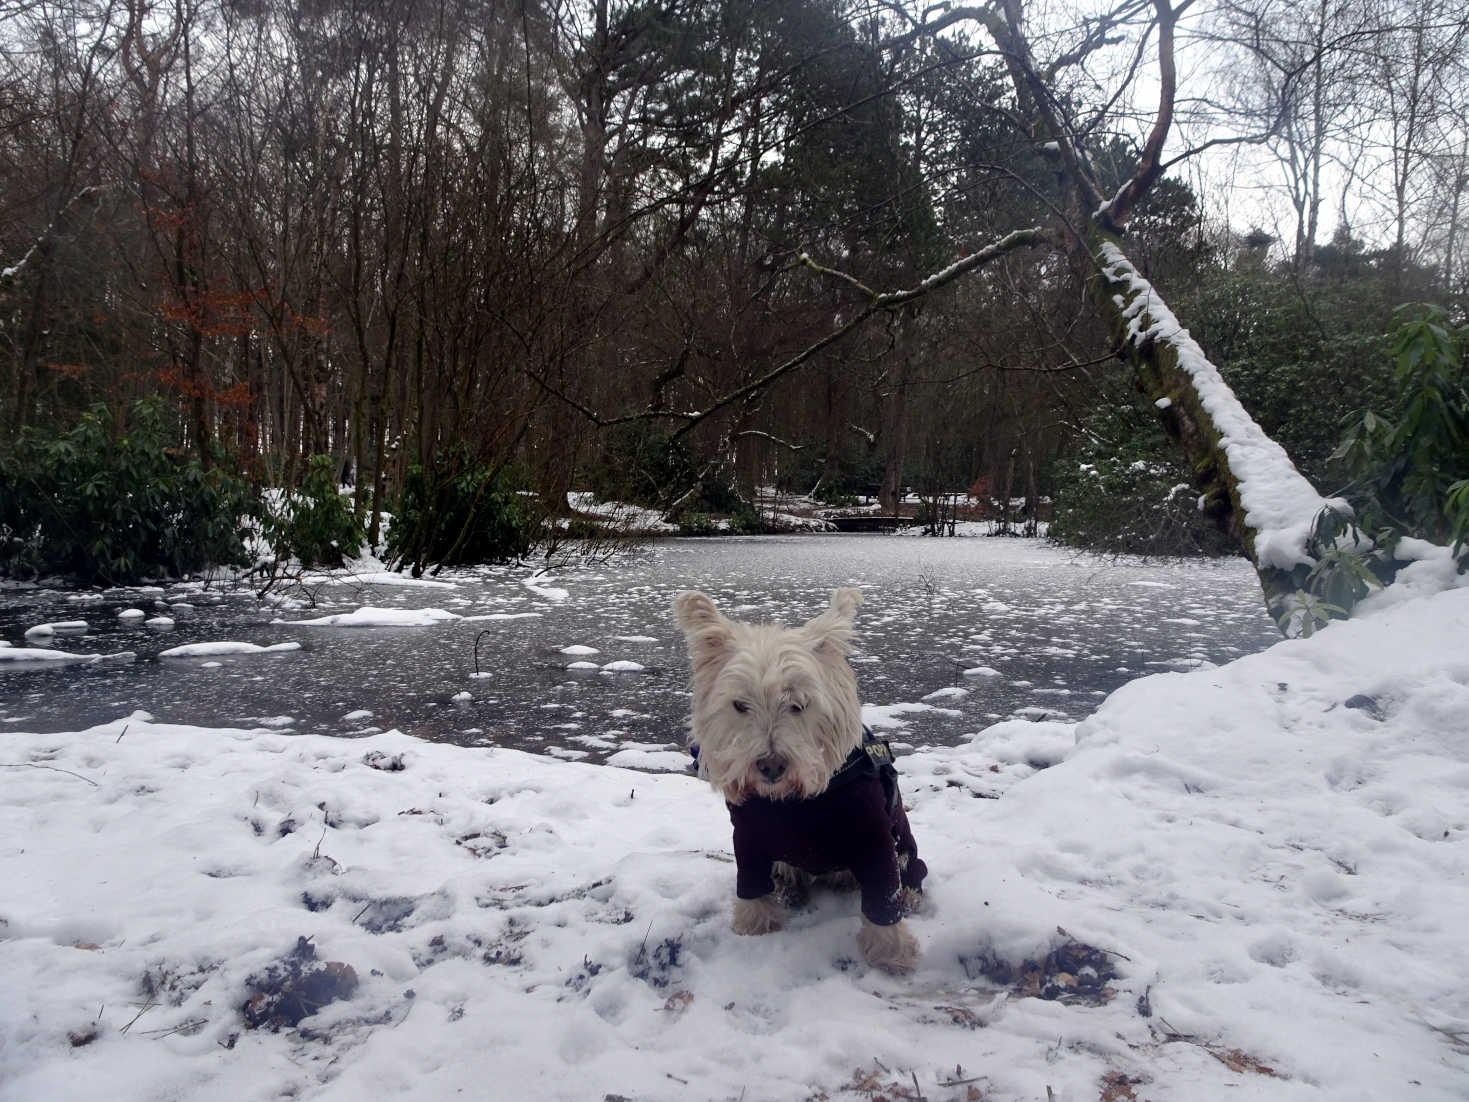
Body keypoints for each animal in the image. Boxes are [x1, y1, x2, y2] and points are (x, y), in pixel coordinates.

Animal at [672, 587, 922, 975]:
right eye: (739, 705)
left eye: (798, 705)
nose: (771, 766)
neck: (792, 803)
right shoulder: (747, 837)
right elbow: (750, 884)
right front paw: (753, 927)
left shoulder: (874, 838)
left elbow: (884, 896)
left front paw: (892, 953)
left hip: (904, 849)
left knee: (911, 871)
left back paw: (910, 894)